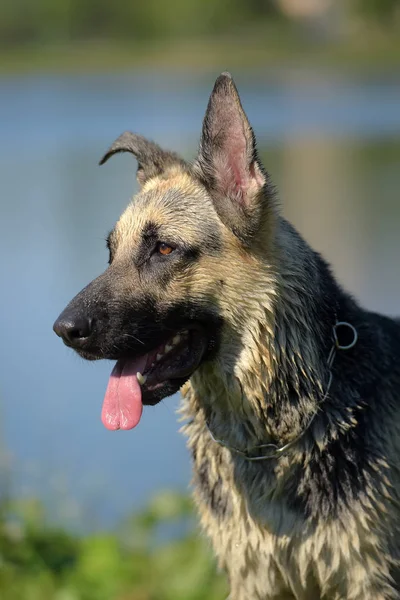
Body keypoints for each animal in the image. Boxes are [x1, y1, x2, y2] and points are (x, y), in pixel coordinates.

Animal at [54, 72, 400, 596]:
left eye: (163, 249)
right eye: (111, 253)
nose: (62, 330)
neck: (275, 435)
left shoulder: (371, 577)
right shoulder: (253, 579)